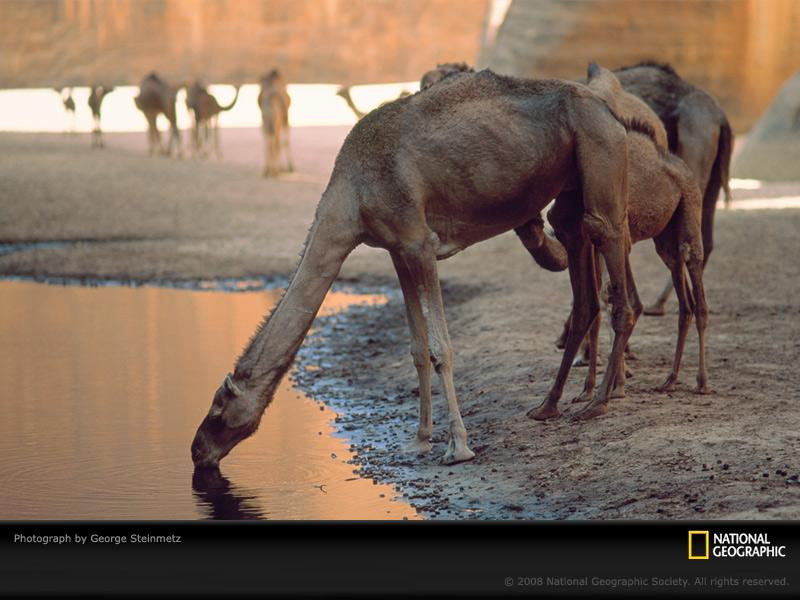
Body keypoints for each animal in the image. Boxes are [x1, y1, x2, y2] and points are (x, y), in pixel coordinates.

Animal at [191, 70, 636, 472]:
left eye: (218, 406)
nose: (196, 452)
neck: (350, 199)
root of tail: (607, 108)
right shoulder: (397, 250)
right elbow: (418, 349)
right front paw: (419, 440)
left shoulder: (419, 242)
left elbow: (441, 348)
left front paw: (458, 448)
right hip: (573, 187)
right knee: (583, 267)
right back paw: (557, 404)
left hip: (600, 152)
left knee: (609, 243)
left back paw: (599, 403)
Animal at [528, 64, 708, 422]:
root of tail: (677, 163)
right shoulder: (590, 240)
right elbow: (598, 304)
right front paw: (588, 391)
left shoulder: (609, 233)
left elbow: (610, 301)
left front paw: (609, 390)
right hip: (665, 239)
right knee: (684, 299)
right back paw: (670, 380)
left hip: (689, 212)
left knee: (697, 283)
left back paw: (702, 382)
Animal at [616, 61, 736, 314]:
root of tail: (721, 118)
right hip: (711, 181)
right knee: (704, 242)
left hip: (693, 164)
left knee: (687, 245)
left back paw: (658, 304)